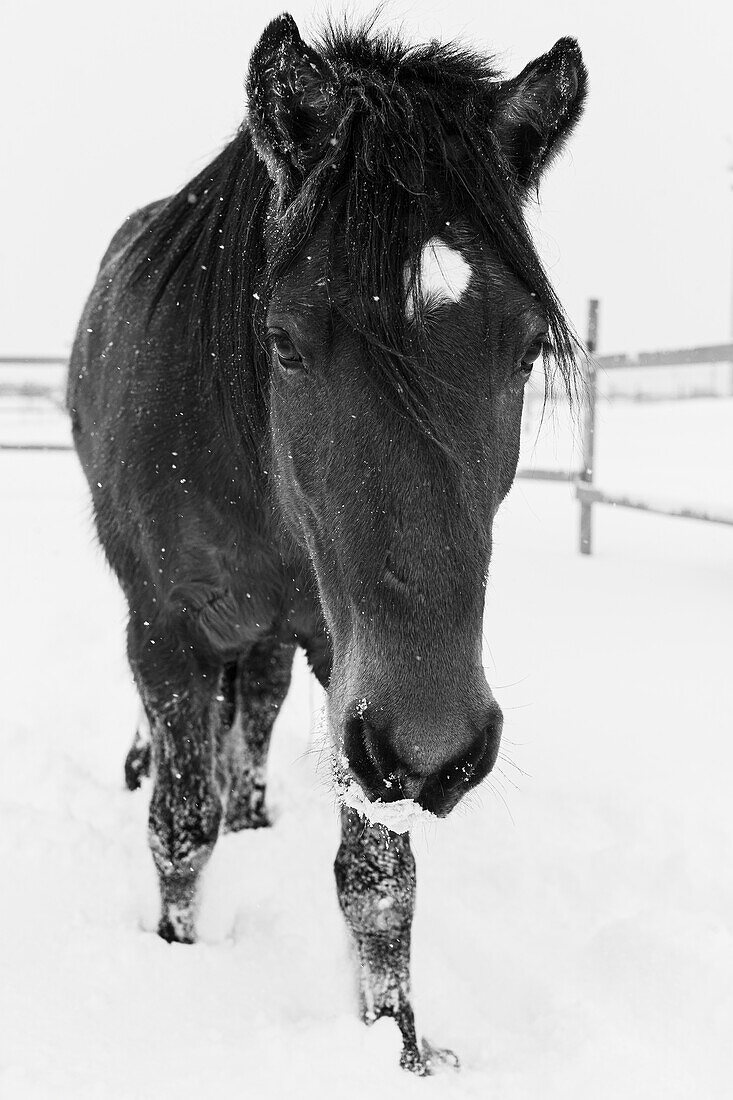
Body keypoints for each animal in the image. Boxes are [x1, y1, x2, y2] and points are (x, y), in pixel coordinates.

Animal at [65, 10, 585, 1073]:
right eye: (285, 341)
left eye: (523, 350)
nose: (433, 750)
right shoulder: (165, 631)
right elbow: (179, 827)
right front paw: (175, 956)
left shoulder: (344, 656)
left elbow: (377, 881)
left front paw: (401, 1046)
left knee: (257, 710)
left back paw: (256, 801)